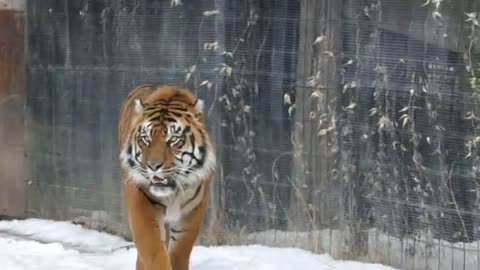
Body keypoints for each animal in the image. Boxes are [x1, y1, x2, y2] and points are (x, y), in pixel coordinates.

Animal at [118, 84, 216, 270]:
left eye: (174, 139)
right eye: (145, 139)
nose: (153, 166)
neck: (173, 194)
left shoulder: (193, 212)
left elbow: (178, 254)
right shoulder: (141, 204)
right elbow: (154, 251)